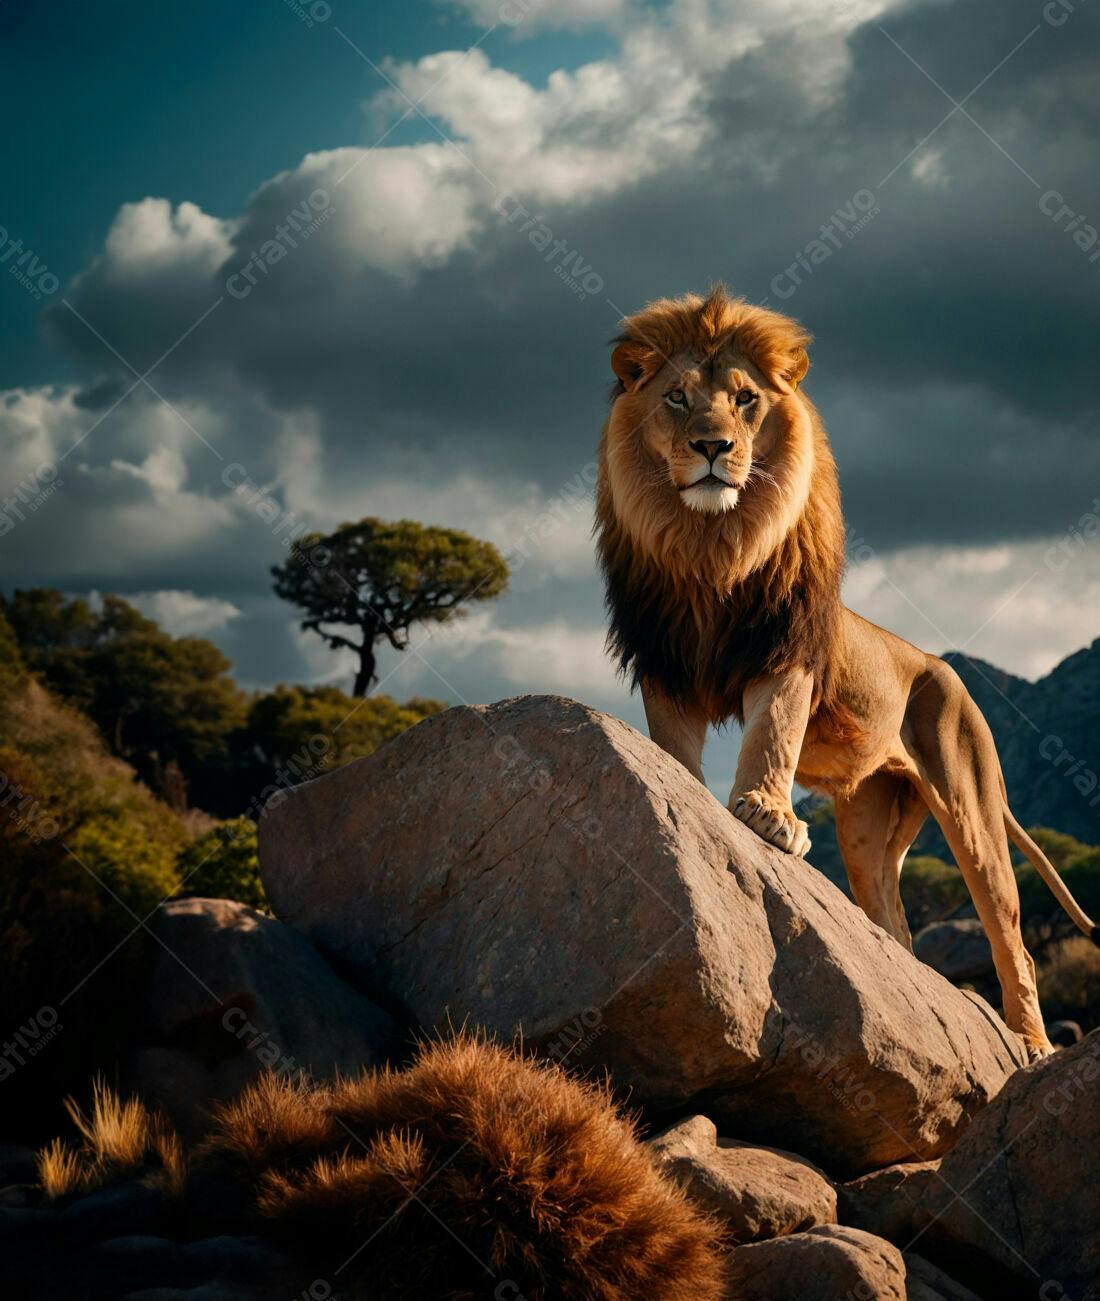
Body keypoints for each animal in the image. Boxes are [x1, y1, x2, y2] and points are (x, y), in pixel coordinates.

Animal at [595, 285, 1098, 1060]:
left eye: (745, 400)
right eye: (677, 398)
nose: (713, 448)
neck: (712, 544)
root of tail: (943, 668)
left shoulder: (786, 653)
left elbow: (772, 731)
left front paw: (768, 817)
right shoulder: (667, 667)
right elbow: (675, 750)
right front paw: (693, 792)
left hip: (972, 806)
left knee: (1012, 938)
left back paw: (1035, 1046)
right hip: (869, 830)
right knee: (896, 935)